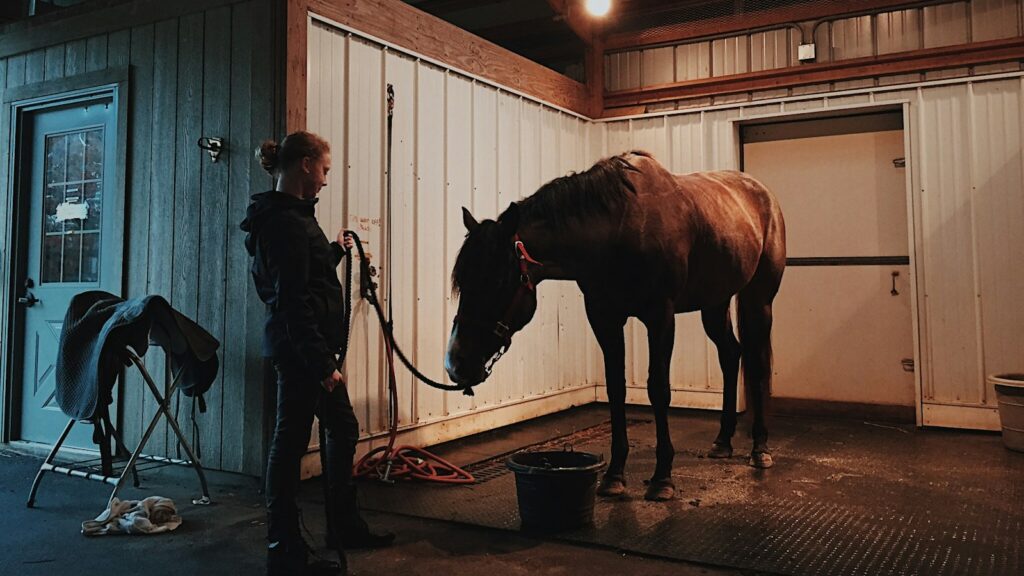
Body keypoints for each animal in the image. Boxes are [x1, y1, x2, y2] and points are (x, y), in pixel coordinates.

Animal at [445, 151, 786, 501]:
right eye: (462, 282)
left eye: (499, 281)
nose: (456, 364)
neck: (619, 230)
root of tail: (763, 195)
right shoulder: (604, 317)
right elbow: (615, 388)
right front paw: (614, 475)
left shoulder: (660, 316)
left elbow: (658, 388)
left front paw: (663, 477)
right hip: (715, 303)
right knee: (730, 355)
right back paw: (723, 441)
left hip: (759, 300)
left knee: (757, 364)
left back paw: (760, 449)